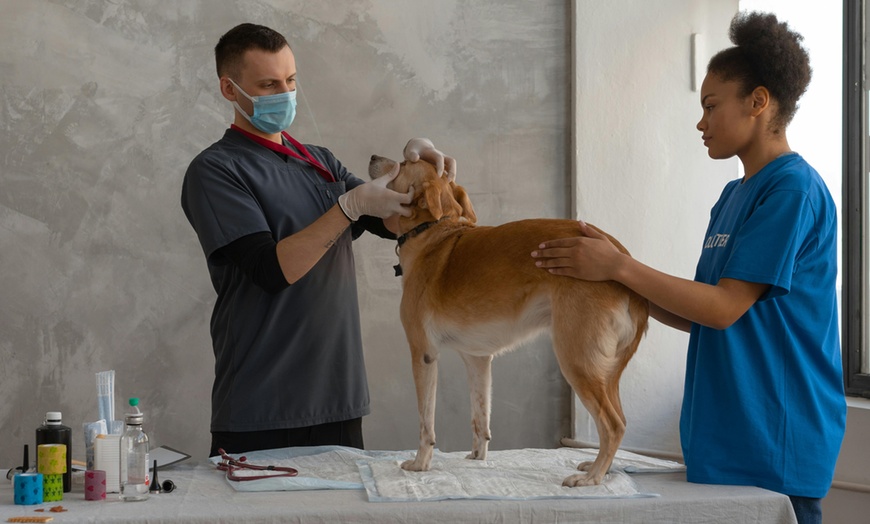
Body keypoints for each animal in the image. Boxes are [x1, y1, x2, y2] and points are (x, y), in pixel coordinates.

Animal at [372, 155, 652, 488]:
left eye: (403, 162)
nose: (373, 159)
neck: (434, 233)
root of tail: (621, 259)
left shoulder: (423, 354)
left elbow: (425, 422)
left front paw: (420, 463)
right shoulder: (477, 359)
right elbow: (480, 418)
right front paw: (477, 458)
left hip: (577, 359)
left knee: (613, 425)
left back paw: (592, 477)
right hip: (603, 370)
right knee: (619, 419)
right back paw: (601, 468)